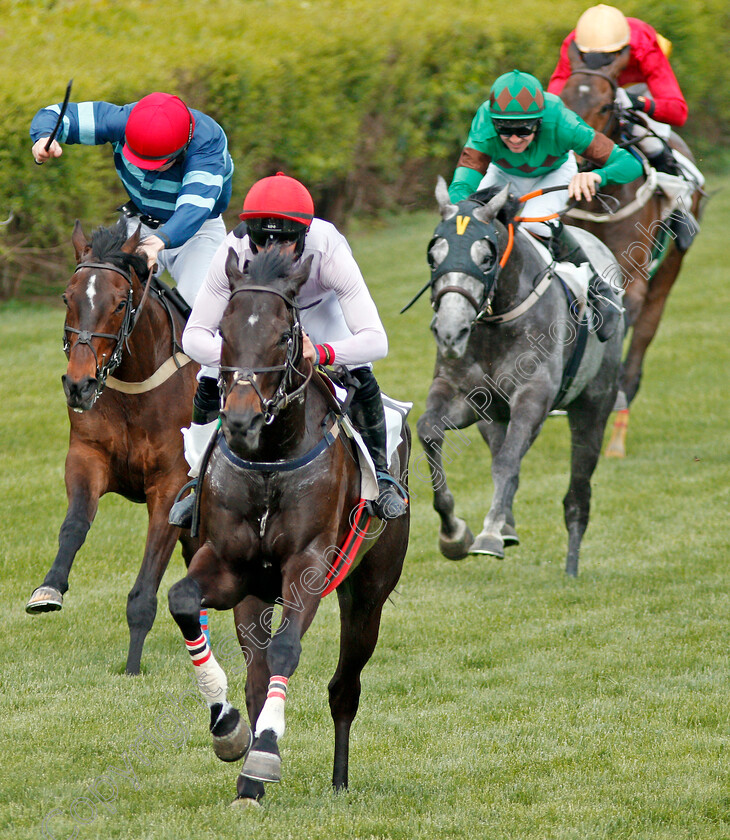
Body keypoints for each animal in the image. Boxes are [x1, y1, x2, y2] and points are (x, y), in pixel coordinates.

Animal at [25, 218, 198, 676]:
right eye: (67, 297)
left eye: (121, 303)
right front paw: (49, 589)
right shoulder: (87, 457)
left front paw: (134, 663)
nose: (79, 385)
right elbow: (74, 525)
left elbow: (147, 578)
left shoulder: (170, 484)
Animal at [167, 249, 412, 808]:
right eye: (224, 330)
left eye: (283, 335)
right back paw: (247, 784)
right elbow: (184, 601)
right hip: (255, 595)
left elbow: (287, 648)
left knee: (344, 687)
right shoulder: (230, 565)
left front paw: (265, 753)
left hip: (367, 593)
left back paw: (337, 779)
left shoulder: (310, 564)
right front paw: (228, 728)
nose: (240, 418)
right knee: (257, 675)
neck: (270, 462)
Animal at [416, 174, 620, 576]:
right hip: (492, 418)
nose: (450, 332)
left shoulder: (533, 395)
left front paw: (490, 534)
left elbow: (509, 460)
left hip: (593, 407)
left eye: (486, 257)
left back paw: (570, 565)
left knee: (577, 492)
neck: (497, 321)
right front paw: (454, 534)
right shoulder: (463, 396)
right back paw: (509, 525)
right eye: (433, 256)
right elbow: (429, 431)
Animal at [556, 42, 704, 456]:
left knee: (640, 346)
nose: (578, 161)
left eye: (606, 106)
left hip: (668, 273)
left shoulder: (632, 279)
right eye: (564, 99)